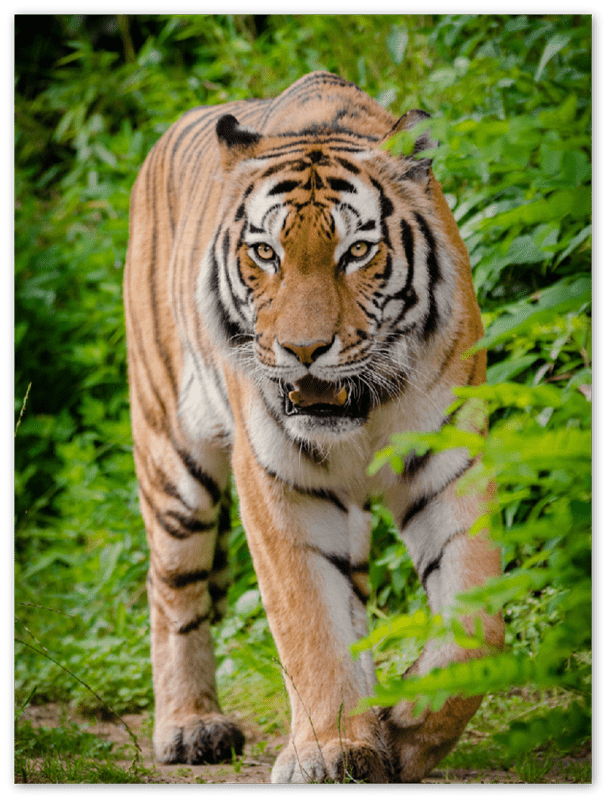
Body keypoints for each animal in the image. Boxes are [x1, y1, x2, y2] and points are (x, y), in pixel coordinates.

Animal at [124, 71, 504, 784]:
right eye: (265, 253)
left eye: (357, 251)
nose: (303, 350)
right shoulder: (280, 481)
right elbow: (308, 621)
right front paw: (332, 748)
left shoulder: (448, 461)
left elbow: (479, 626)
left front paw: (402, 732)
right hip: (172, 457)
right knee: (173, 589)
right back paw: (190, 727)